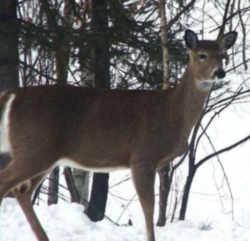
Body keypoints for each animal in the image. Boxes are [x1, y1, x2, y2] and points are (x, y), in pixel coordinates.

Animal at [0, 29, 236, 241]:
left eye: (223, 55)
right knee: (8, 183)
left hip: (42, 154)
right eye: (202, 55)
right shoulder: (142, 156)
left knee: (22, 191)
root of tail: (12, 94)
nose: (220, 72)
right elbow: (148, 209)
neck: (172, 112)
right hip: (35, 148)